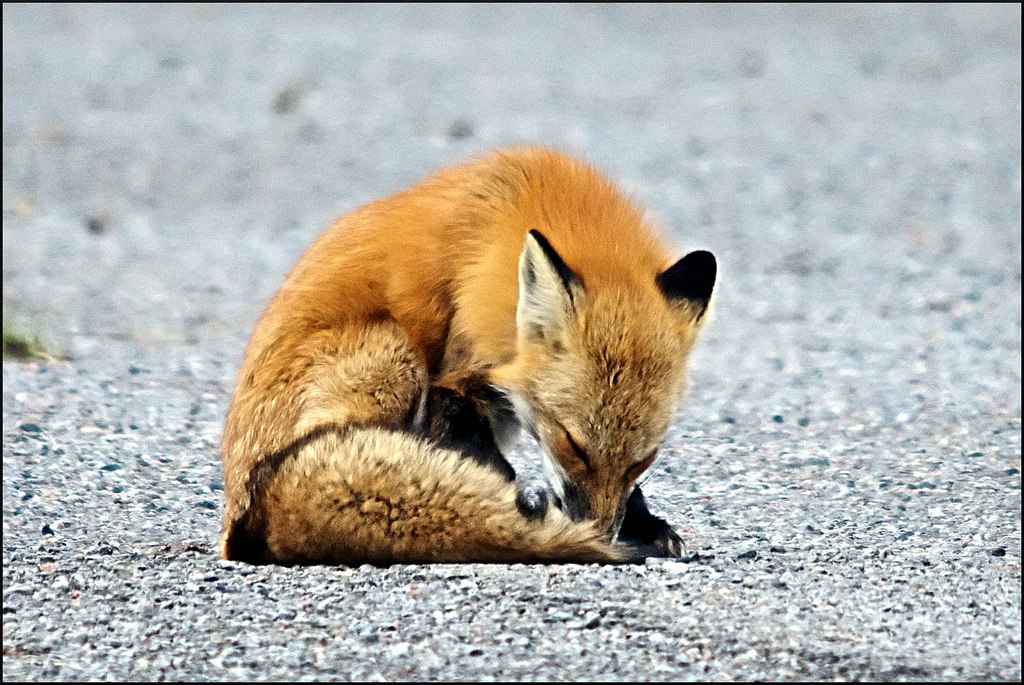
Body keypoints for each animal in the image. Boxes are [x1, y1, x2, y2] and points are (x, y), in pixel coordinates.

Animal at [219, 146, 716, 565]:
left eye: (643, 460)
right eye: (572, 444)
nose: (599, 531)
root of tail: (240, 523)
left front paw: (644, 522)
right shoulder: (453, 380)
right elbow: (483, 464)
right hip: (394, 352)